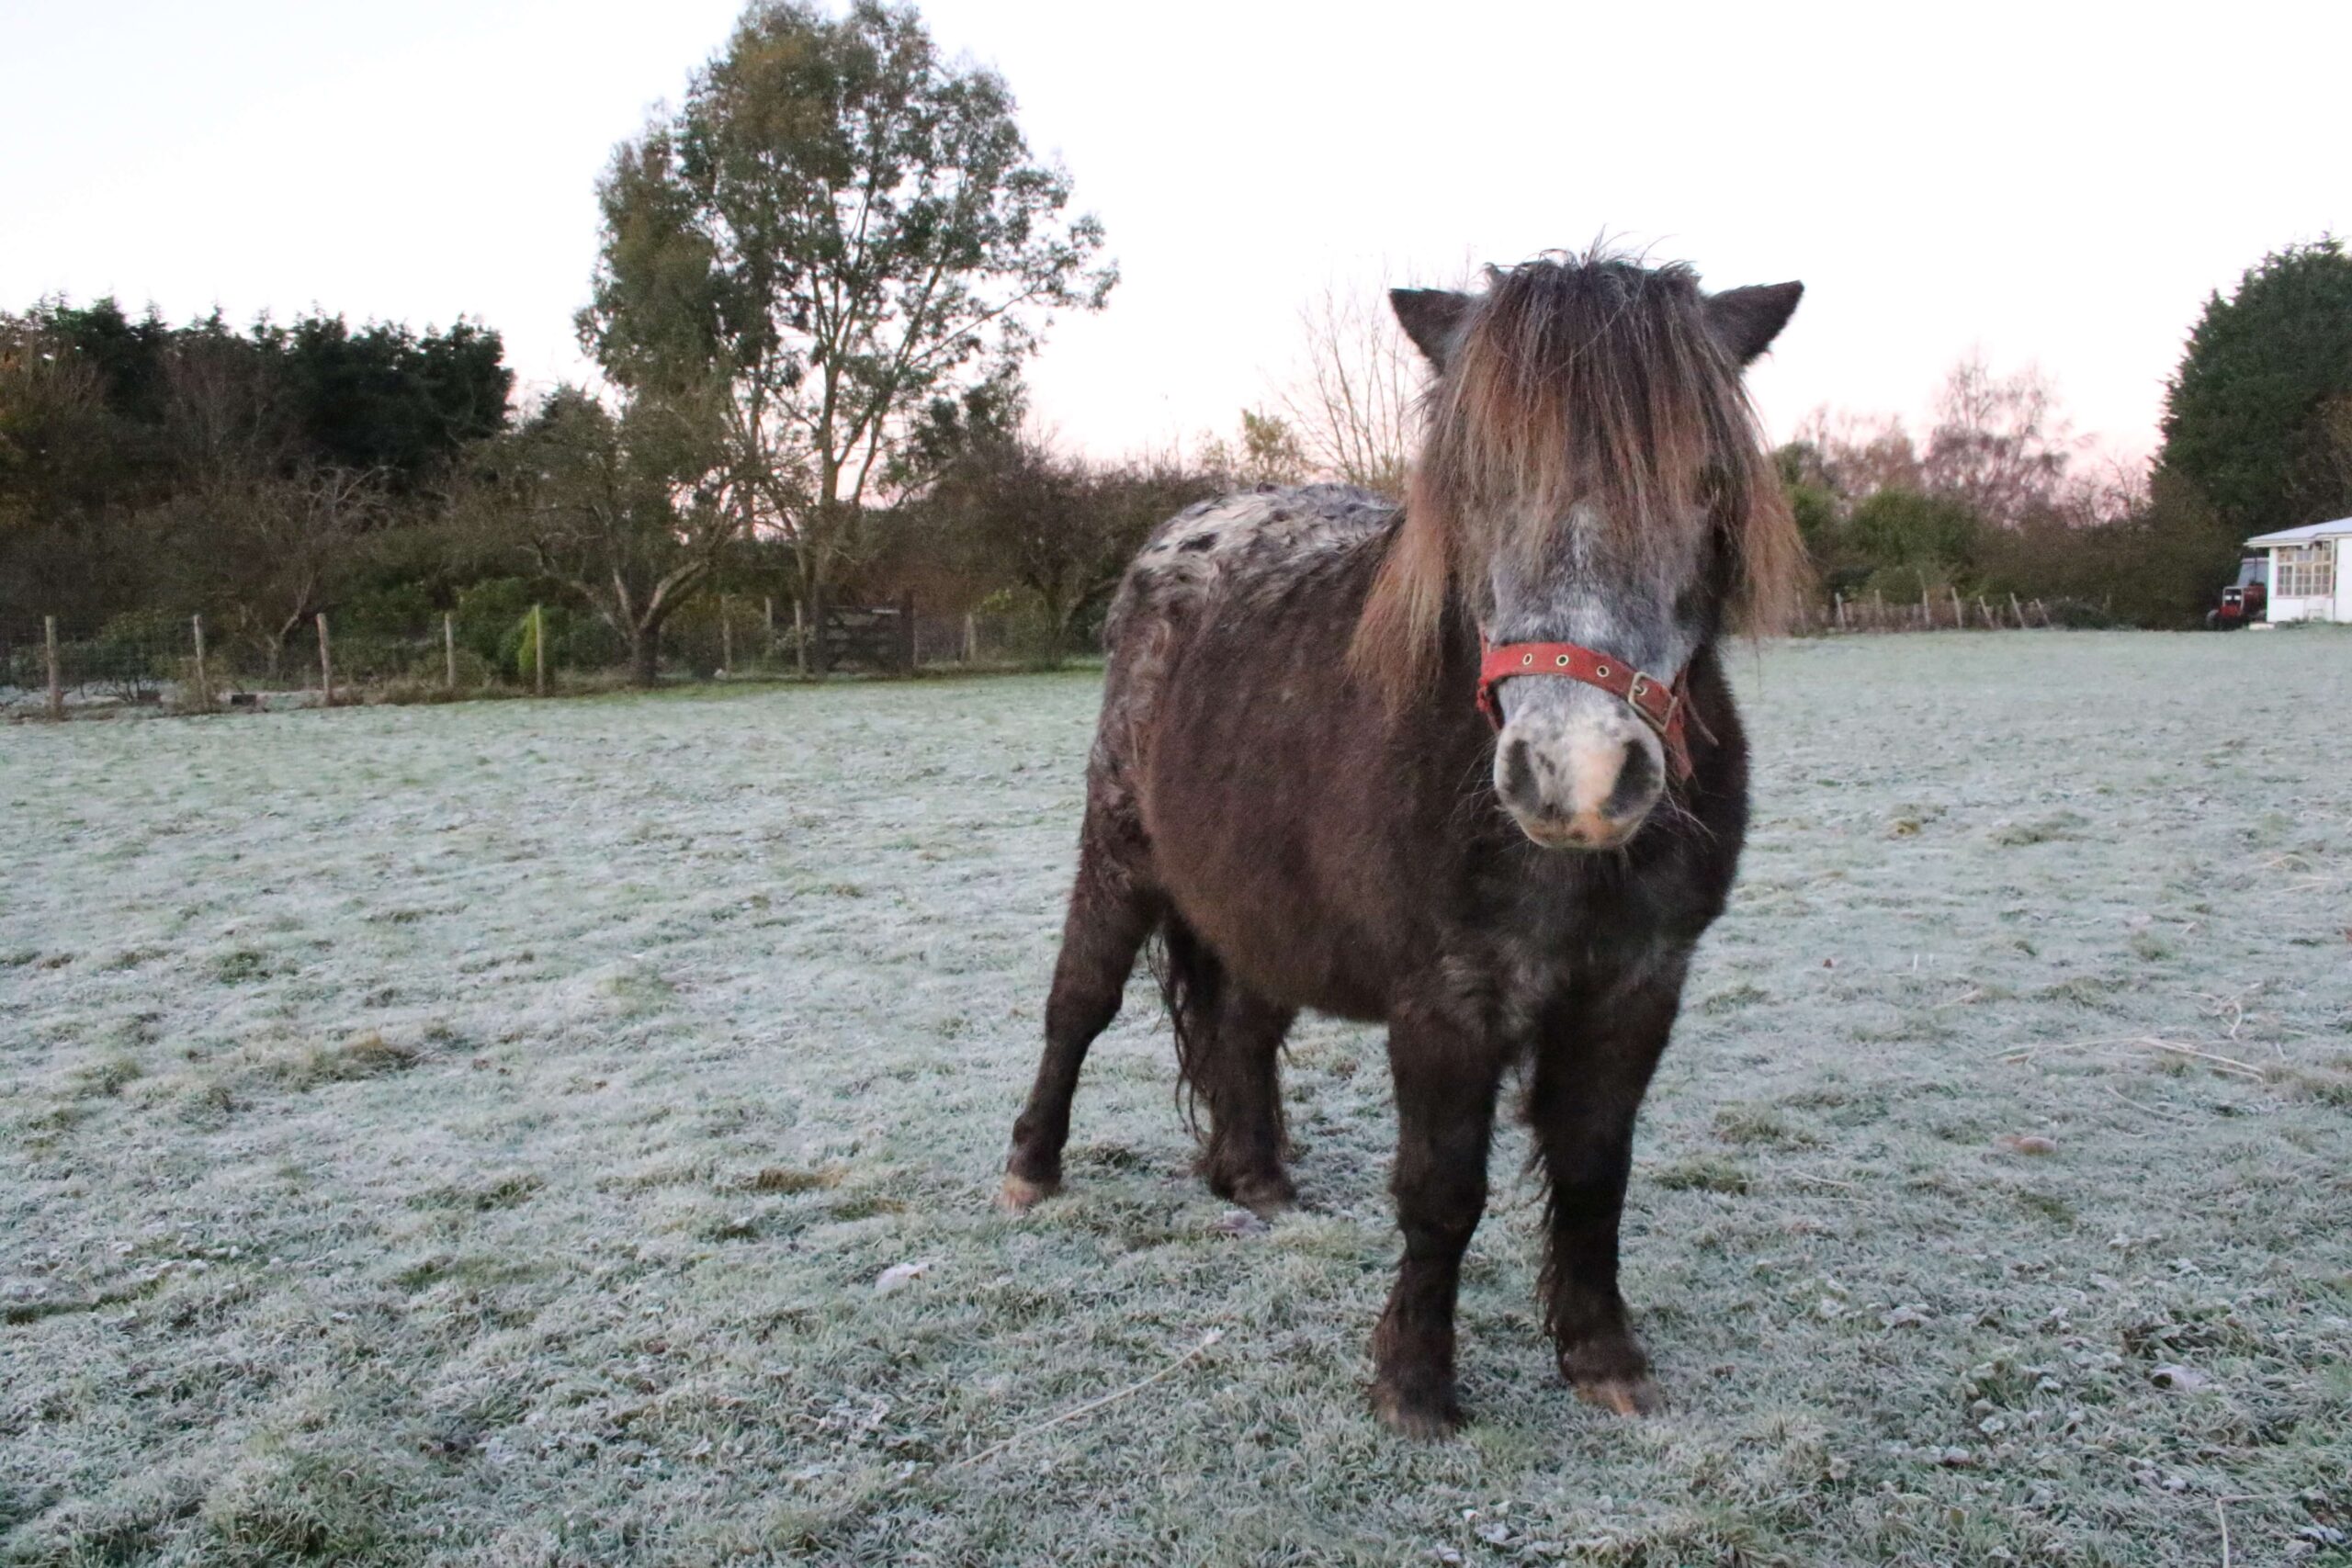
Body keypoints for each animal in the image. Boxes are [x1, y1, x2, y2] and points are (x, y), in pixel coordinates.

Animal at [992, 247, 1796, 1438]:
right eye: (1475, 482)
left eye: (1704, 480)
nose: (1577, 774)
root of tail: (1183, 535)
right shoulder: (1445, 1000)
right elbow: (1442, 1189)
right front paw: (1415, 1382)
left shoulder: (1637, 989)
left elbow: (1595, 1171)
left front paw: (1602, 1355)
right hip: (1120, 853)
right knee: (1077, 1006)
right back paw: (1031, 1169)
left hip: (1257, 903)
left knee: (1241, 1025)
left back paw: (1255, 1177)